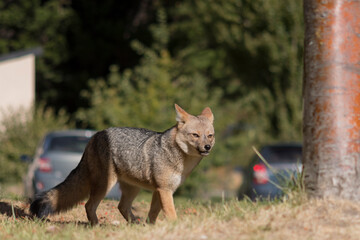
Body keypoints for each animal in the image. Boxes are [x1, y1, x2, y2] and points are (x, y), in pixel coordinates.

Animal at [29, 104, 215, 225]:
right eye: (195, 135)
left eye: (210, 135)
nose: (207, 147)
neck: (181, 162)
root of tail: (96, 135)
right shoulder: (164, 190)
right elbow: (171, 213)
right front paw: (176, 227)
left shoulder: (160, 190)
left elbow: (153, 213)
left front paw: (151, 228)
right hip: (105, 185)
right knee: (90, 205)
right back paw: (97, 225)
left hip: (132, 189)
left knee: (121, 207)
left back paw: (135, 225)